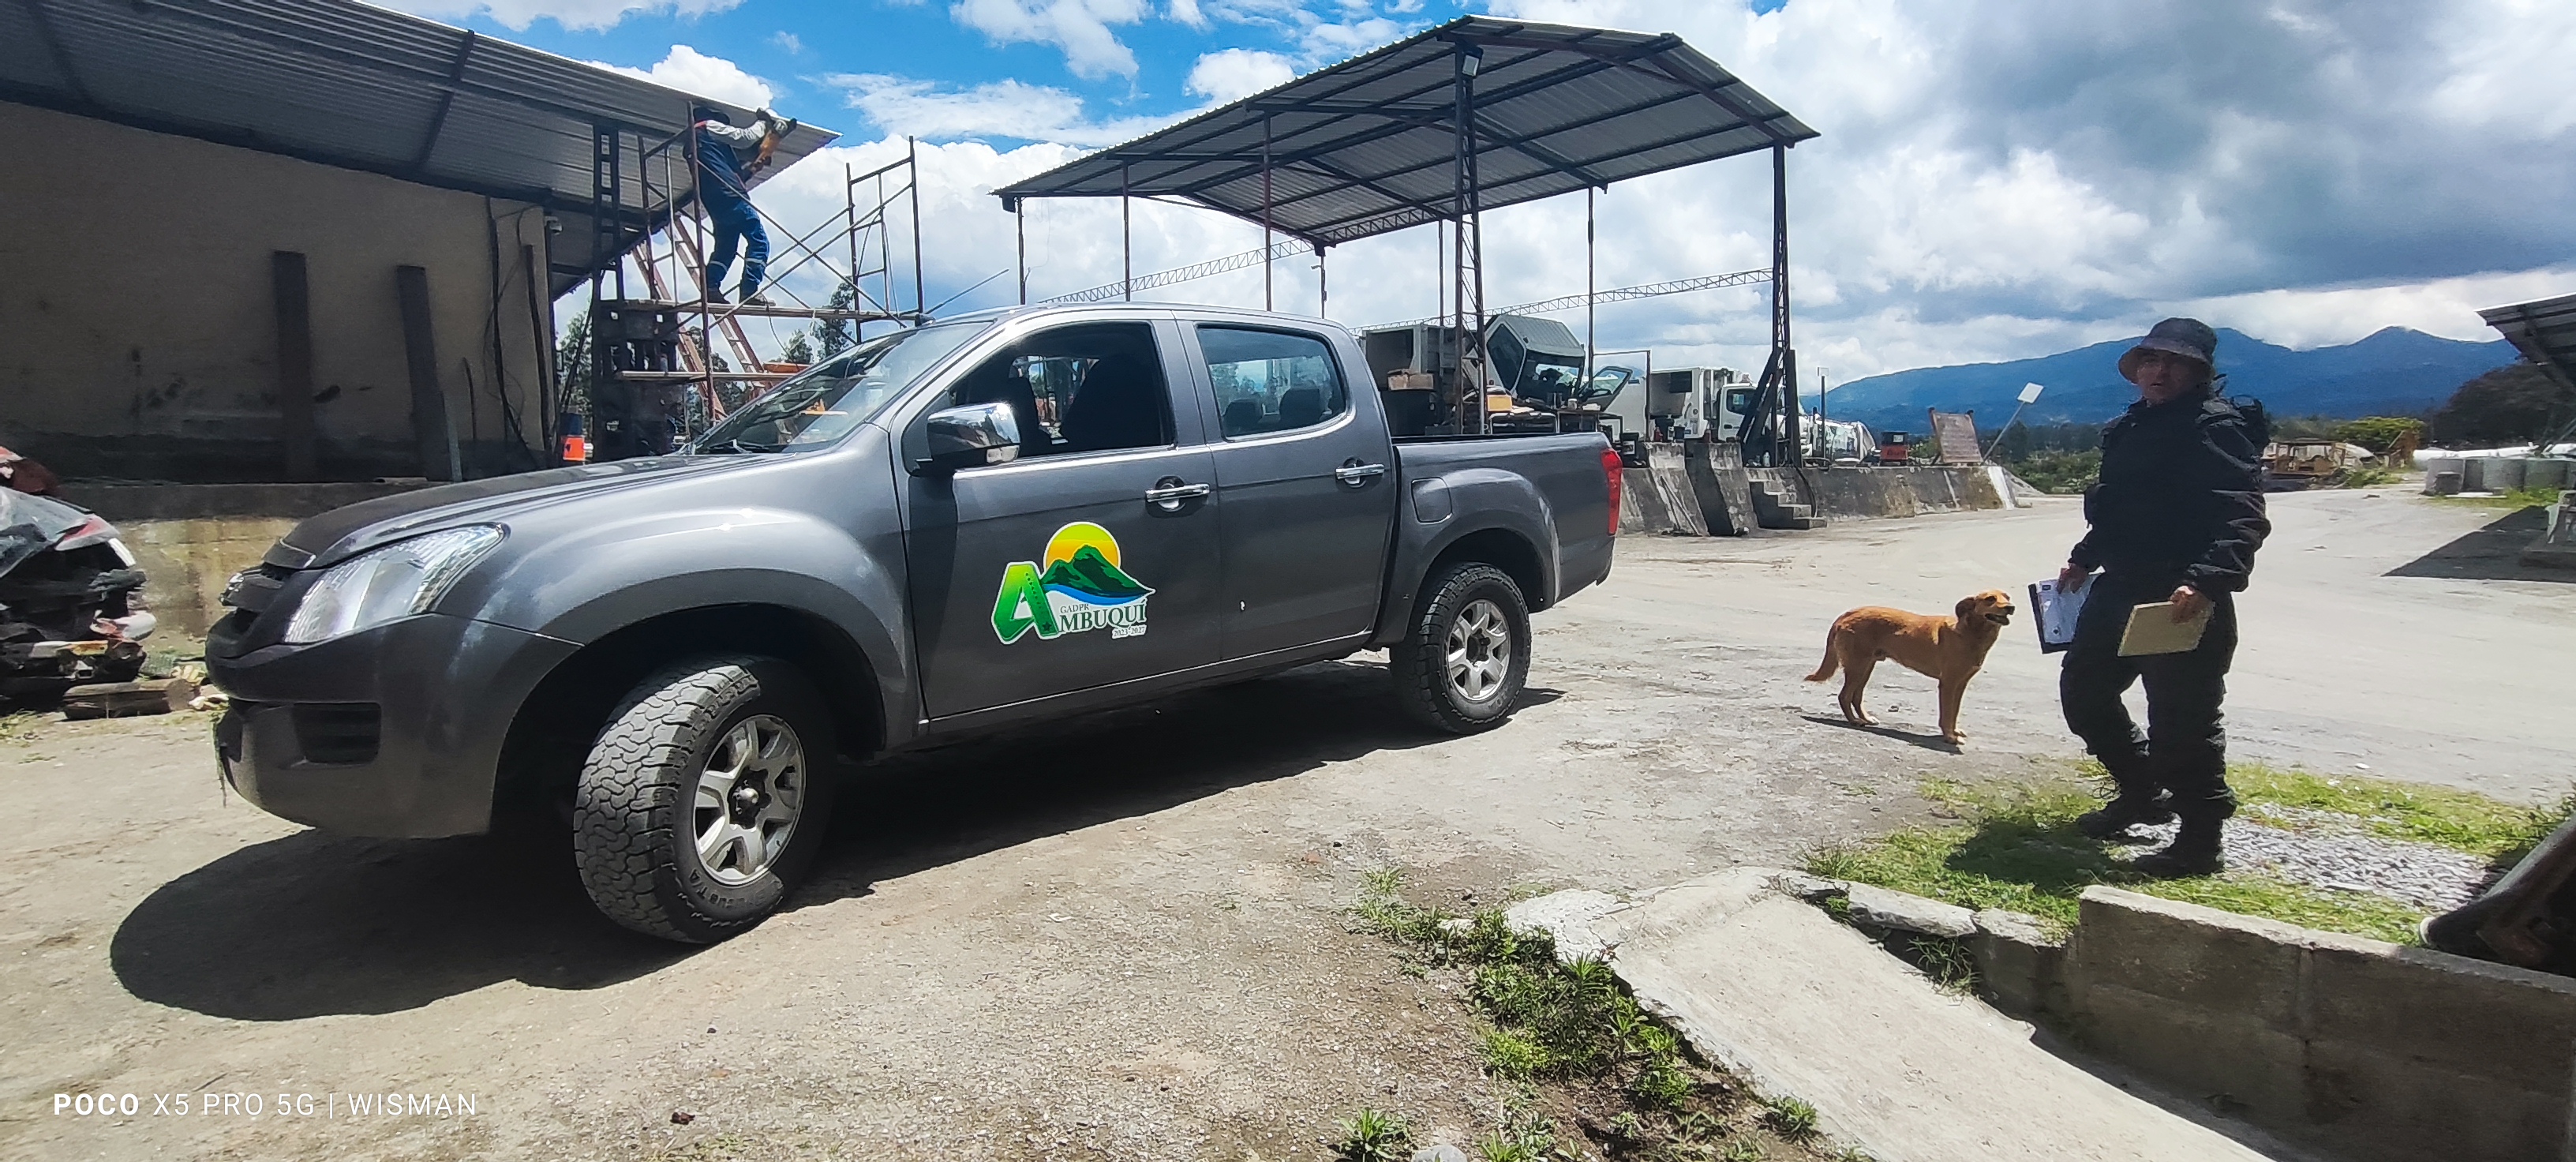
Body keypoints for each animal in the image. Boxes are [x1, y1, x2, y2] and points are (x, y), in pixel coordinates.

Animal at [1805, 590, 2016, 745]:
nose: (2011, 607)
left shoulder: (1961, 684)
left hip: (1867, 666)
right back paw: (1854, 721)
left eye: (2007, 597)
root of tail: (1848, 614)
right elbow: (1947, 713)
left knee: (1856, 697)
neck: (1970, 633)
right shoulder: (1948, 684)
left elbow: (1954, 712)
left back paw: (1865, 719)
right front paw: (1950, 737)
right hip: (1858, 666)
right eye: (1990, 599)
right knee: (1844, 696)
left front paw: (1954, 732)